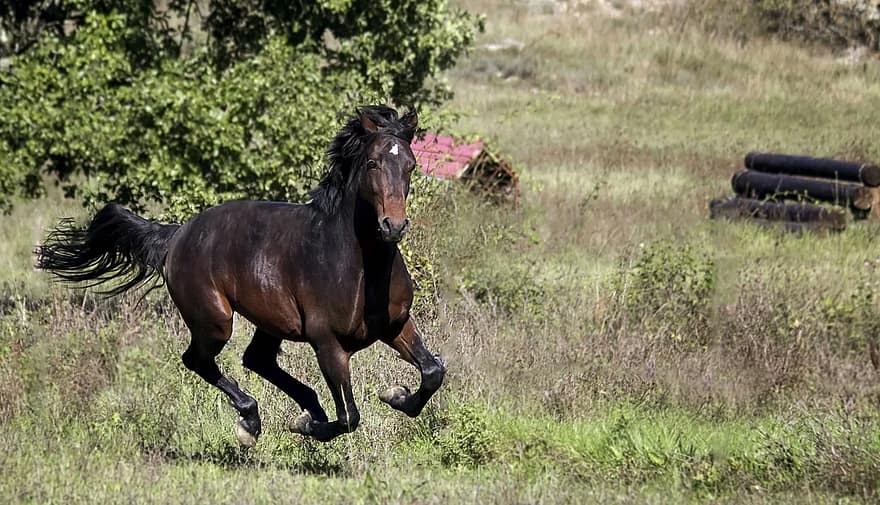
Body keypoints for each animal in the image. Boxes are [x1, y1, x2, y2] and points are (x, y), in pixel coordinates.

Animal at [35, 105, 446, 444]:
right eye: (373, 163)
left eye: (410, 165)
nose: (393, 226)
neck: (357, 264)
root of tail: (177, 235)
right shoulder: (328, 343)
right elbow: (349, 417)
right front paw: (307, 426)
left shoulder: (396, 325)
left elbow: (432, 372)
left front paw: (396, 396)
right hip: (215, 320)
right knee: (199, 361)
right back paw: (251, 422)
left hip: (269, 320)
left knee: (257, 360)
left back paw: (302, 409)